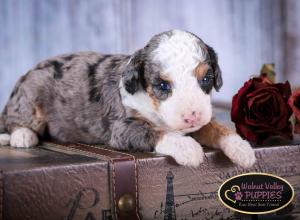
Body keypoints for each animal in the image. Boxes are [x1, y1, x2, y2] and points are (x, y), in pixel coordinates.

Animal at [0, 28, 255, 167]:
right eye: (162, 85)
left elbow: (217, 127)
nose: (191, 116)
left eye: (206, 79)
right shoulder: (122, 128)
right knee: (14, 120)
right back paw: (22, 136)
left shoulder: (201, 120)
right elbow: (157, 131)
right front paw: (188, 148)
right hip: (30, 98)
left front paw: (241, 149)